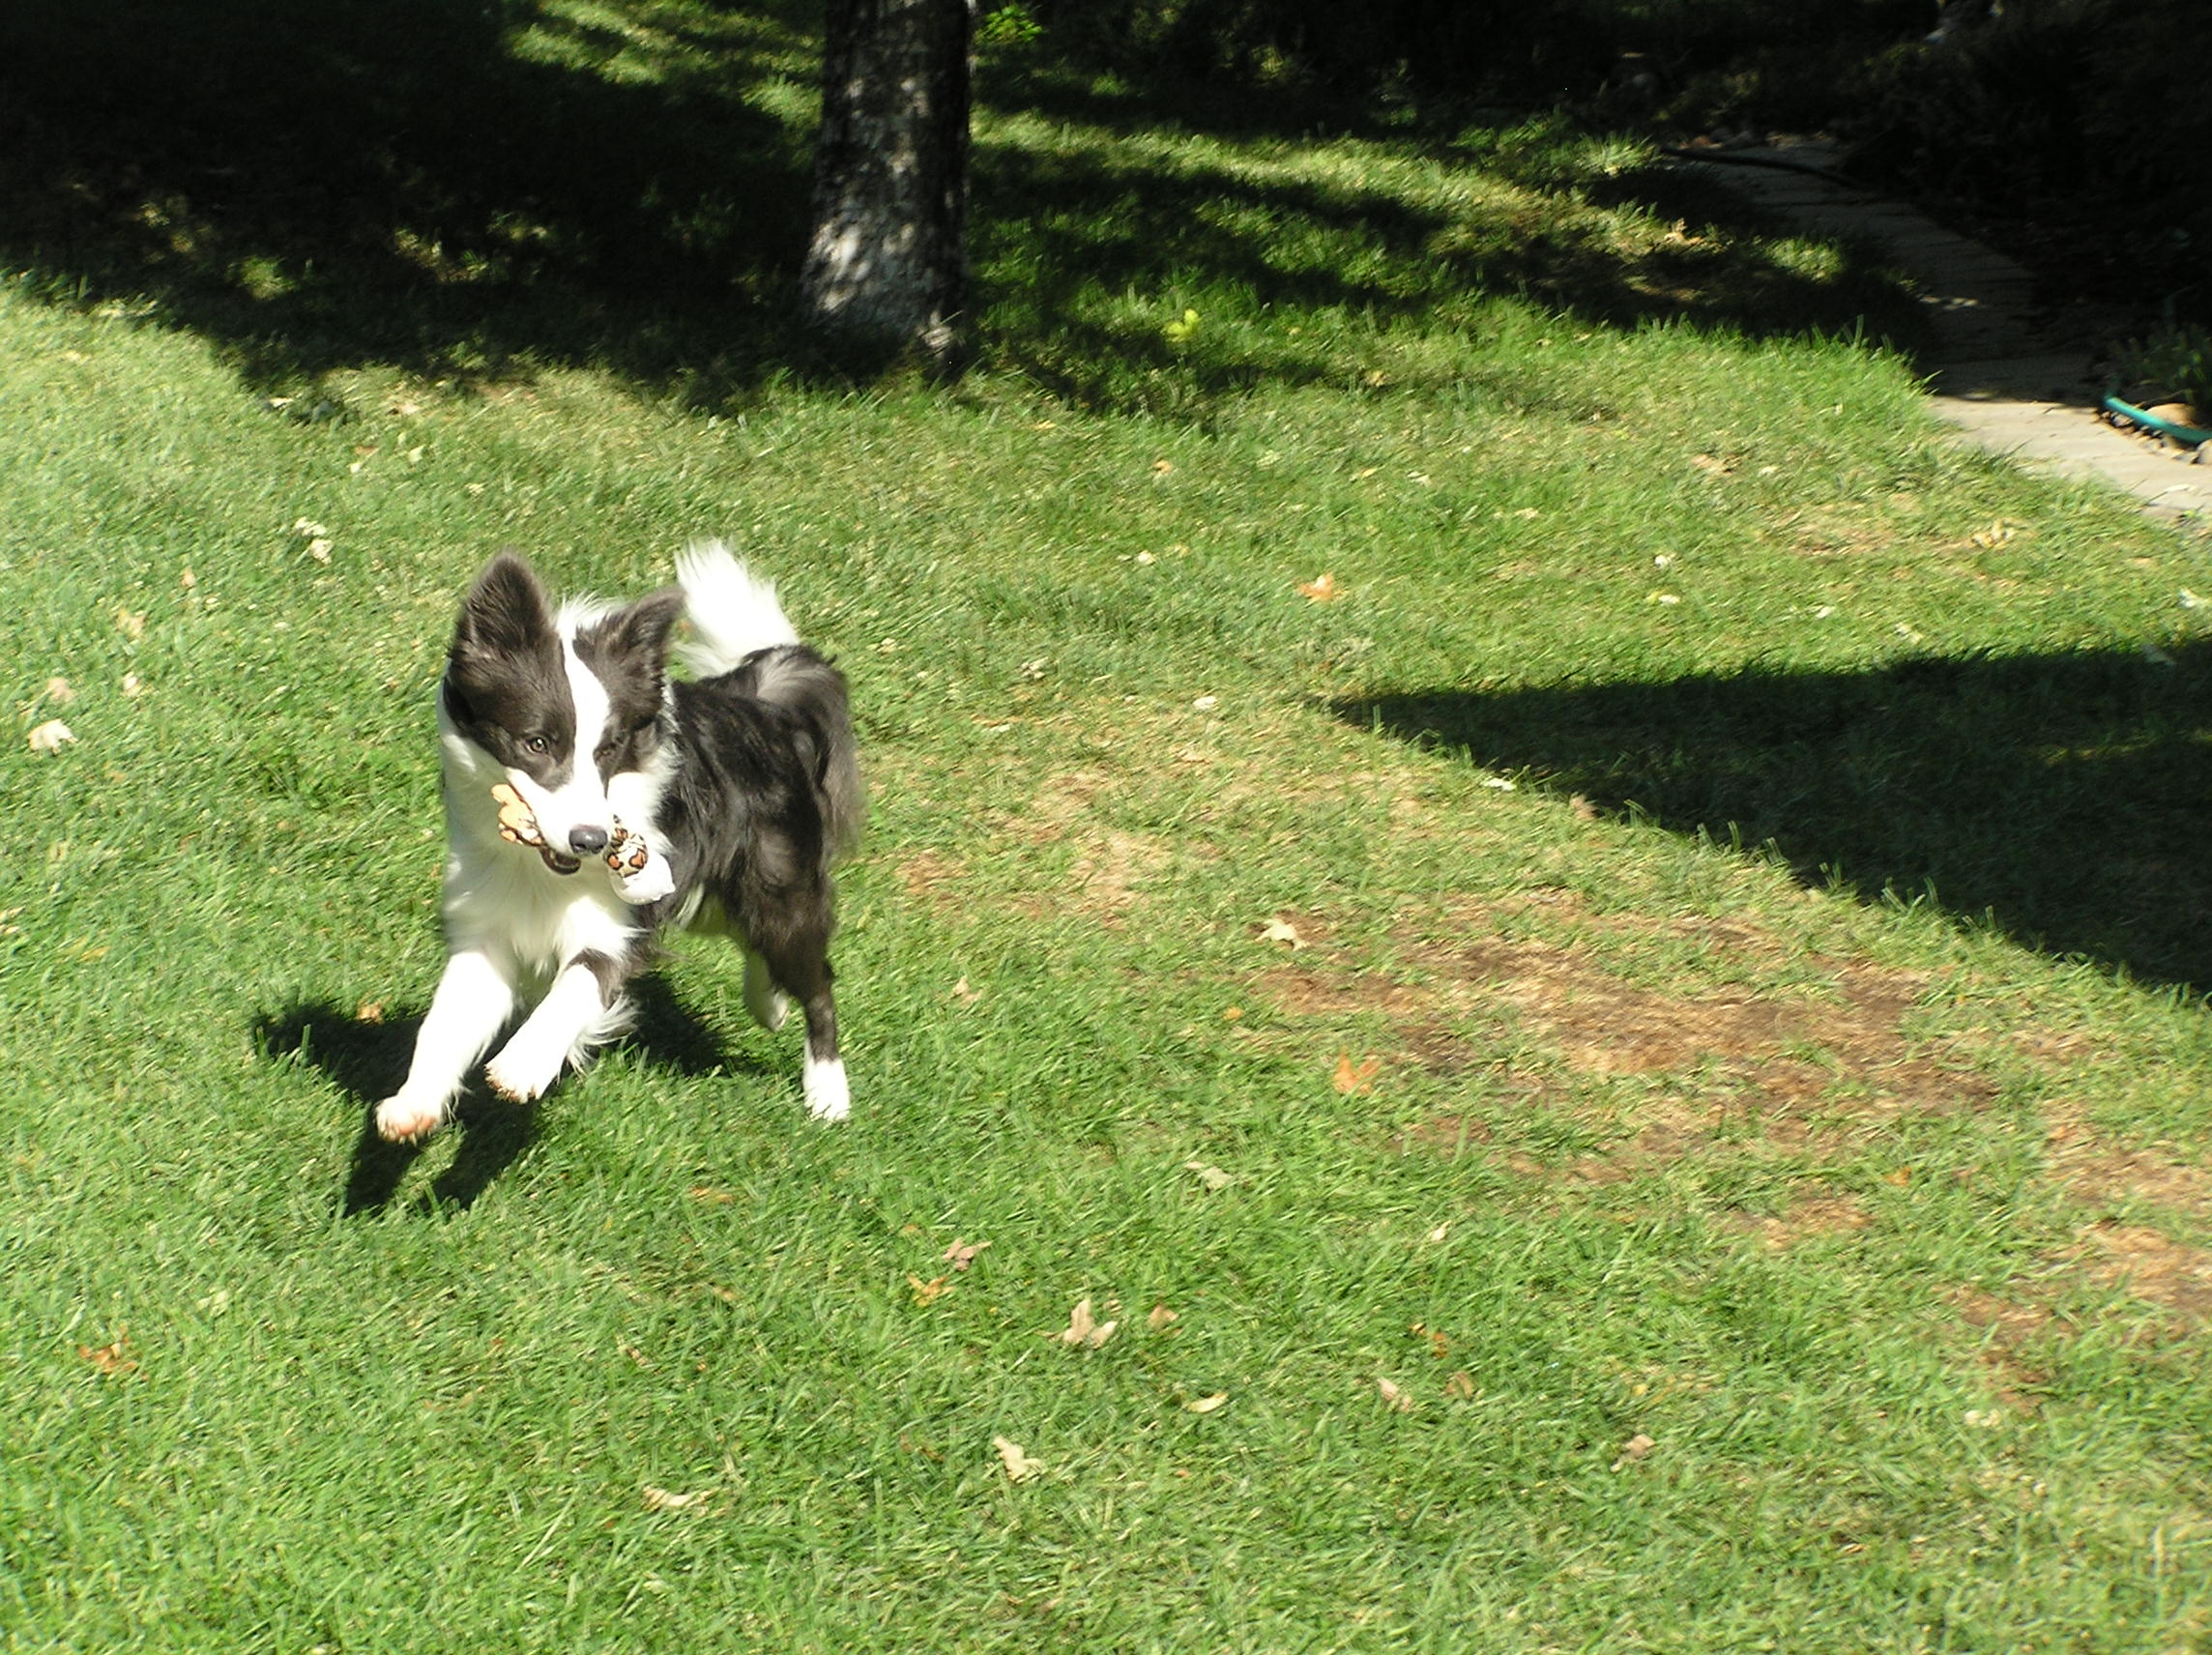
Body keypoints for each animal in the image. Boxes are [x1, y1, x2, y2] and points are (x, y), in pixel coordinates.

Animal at [375, 541, 858, 1142]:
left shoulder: (615, 924)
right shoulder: (486, 923)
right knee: (748, 938)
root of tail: (759, 703)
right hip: (708, 895)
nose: (591, 839)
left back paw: (828, 1093)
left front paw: (524, 1062)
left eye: (609, 749)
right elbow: (446, 1022)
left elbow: (578, 984)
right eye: (537, 743)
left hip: (777, 882)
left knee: (813, 974)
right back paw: (768, 1004)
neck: (537, 871)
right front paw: (412, 1103)